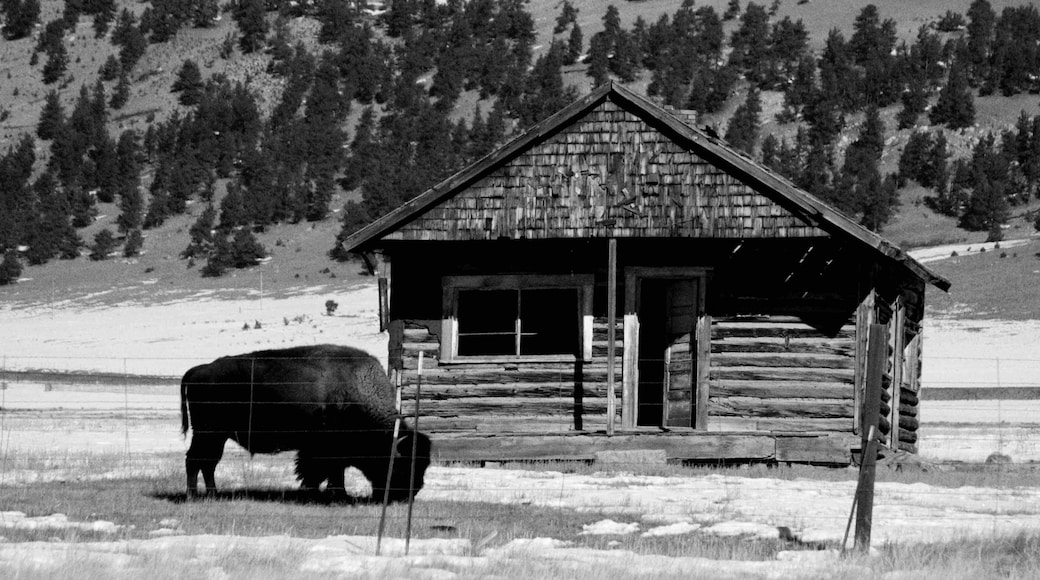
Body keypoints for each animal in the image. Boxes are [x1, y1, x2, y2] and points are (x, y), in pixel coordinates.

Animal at [180, 345, 431, 502]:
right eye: (403, 465)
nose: (408, 495)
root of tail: (199, 370)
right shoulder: (320, 451)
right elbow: (319, 473)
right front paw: (329, 495)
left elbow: (334, 472)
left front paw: (337, 494)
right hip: (208, 433)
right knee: (195, 461)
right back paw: (194, 496)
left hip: (215, 436)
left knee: (207, 463)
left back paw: (212, 494)